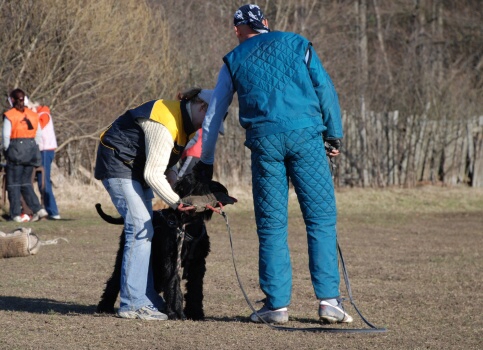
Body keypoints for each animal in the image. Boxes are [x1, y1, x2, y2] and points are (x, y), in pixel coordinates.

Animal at [96, 175, 236, 320]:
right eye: (193, 182)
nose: (221, 189)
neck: (188, 224)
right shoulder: (172, 260)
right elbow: (173, 285)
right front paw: (176, 312)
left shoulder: (198, 263)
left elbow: (195, 288)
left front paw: (195, 313)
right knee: (115, 279)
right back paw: (104, 307)